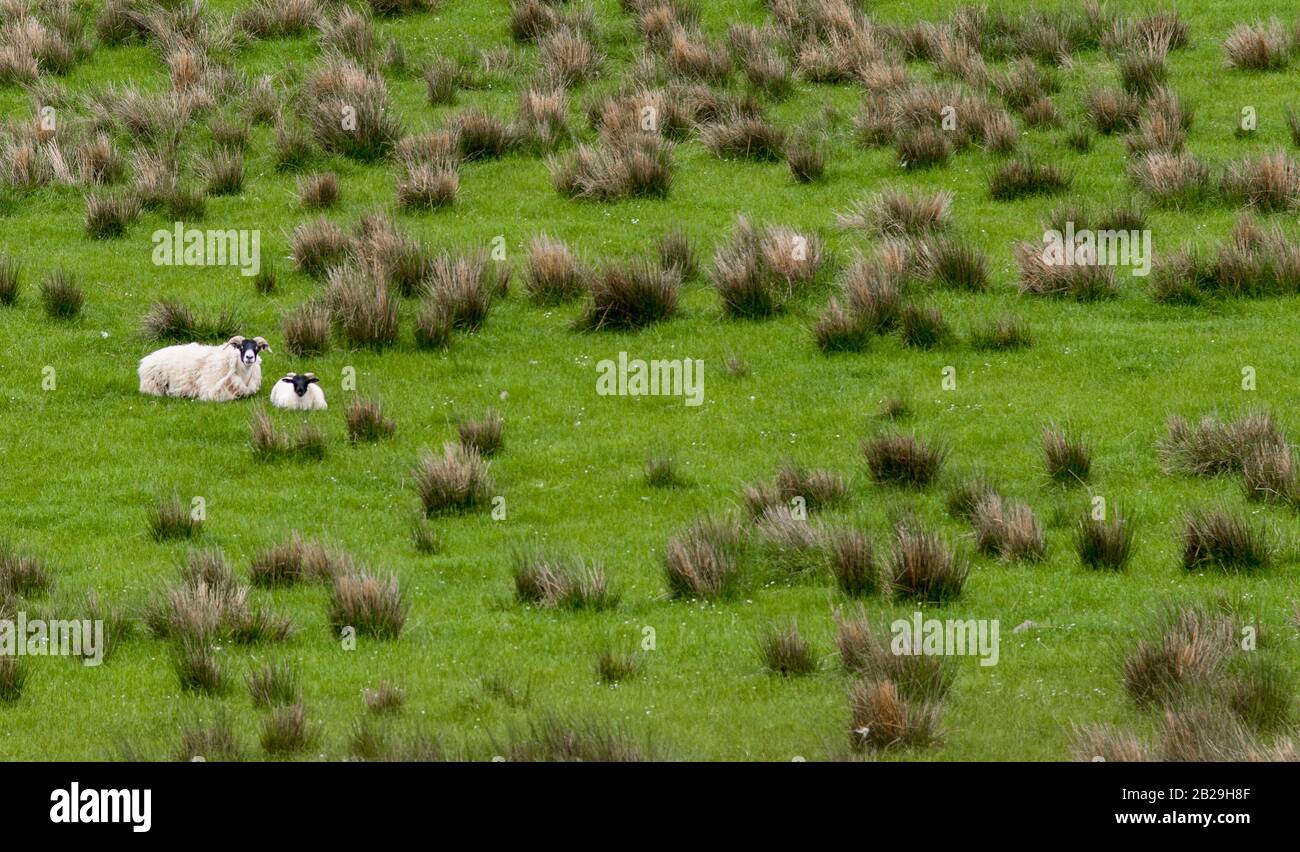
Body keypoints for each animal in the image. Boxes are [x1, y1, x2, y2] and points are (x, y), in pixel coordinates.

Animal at [138, 335, 271, 401]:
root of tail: (147, 359)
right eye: (240, 347)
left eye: (257, 348)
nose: (249, 357)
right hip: (154, 385)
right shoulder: (211, 391)